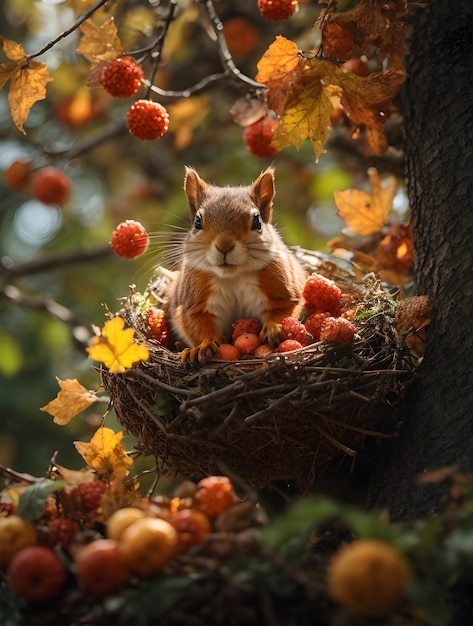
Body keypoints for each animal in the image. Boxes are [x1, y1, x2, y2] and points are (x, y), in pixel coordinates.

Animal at [164, 166, 306, 364]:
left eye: (257, 221)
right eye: (197, 222)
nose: (225, 246)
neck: (233, 276)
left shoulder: (283, 288)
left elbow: (285, 308)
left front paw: (273, 327)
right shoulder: (193, 301)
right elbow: (197, 323)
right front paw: (203, 345)